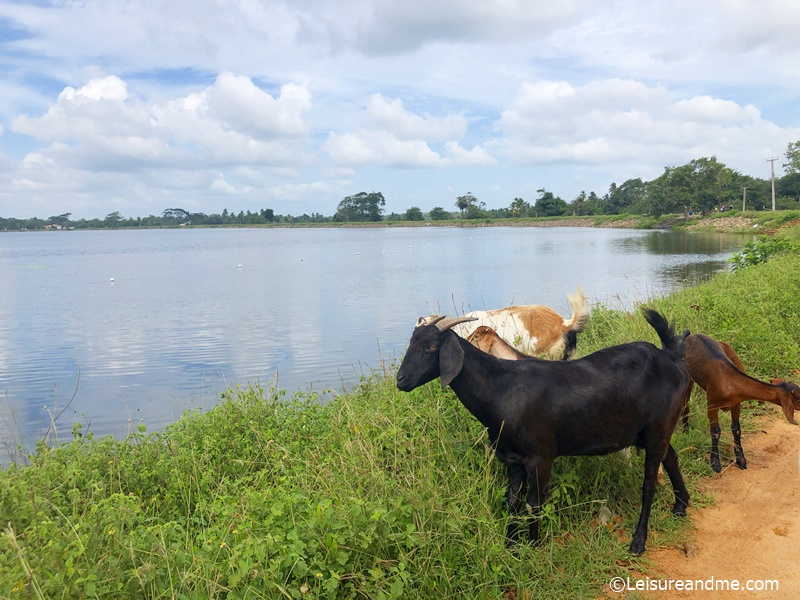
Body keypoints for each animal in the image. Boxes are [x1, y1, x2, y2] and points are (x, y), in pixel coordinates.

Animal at [396, 312, 692, 556]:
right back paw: (681, 506)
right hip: (655, 430)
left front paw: (534, 546)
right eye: (410, 343)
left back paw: (638, 542)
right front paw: (511, 545)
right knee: (672, 458)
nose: (400, 380)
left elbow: (533, 504)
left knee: (649, 484)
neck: (501, 389)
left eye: (432, 347)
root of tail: (670, 357)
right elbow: (512, 502)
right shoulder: (513, 460)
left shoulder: (541, 458)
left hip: (658, 428)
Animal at [680, 336, 800, 472]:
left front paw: (741, 459)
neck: (731, 382)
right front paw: (715, 462)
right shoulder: (712, 403)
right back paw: (685, 430)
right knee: (685, 404)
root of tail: (692, 336)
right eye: (798, 399)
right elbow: (715, 431)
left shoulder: (736, 403)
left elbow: (736, 429)